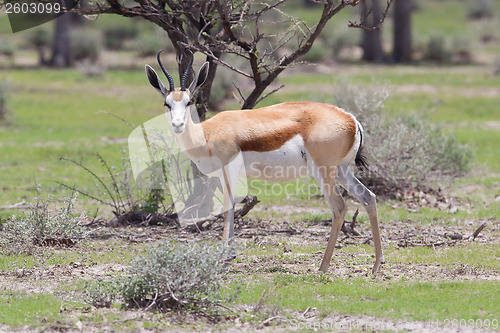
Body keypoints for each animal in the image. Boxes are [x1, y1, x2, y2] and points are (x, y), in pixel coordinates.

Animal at [146, 50, 384, 272]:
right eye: (167, 103)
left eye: (188, 102)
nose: (178, 124)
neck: (206, 133)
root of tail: (351, 119)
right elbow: (231, 207)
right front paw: (230, 256)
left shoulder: (229, 168)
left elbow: (227, 206)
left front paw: (221, 258)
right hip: (342, 170)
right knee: (368, 197)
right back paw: (376, 266)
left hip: (323, 171)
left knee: (339, 207)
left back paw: (323, 267)